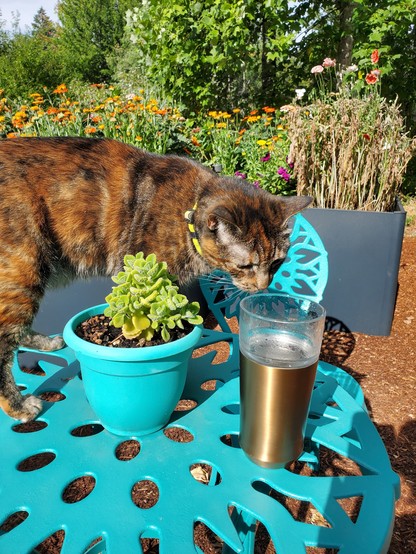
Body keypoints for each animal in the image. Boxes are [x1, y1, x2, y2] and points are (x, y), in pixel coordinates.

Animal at [0, 137, 310, 418]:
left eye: (277, 261)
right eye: (246, 265)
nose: (263, 286)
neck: (189, 210)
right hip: (23, 269)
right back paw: (19, 407)